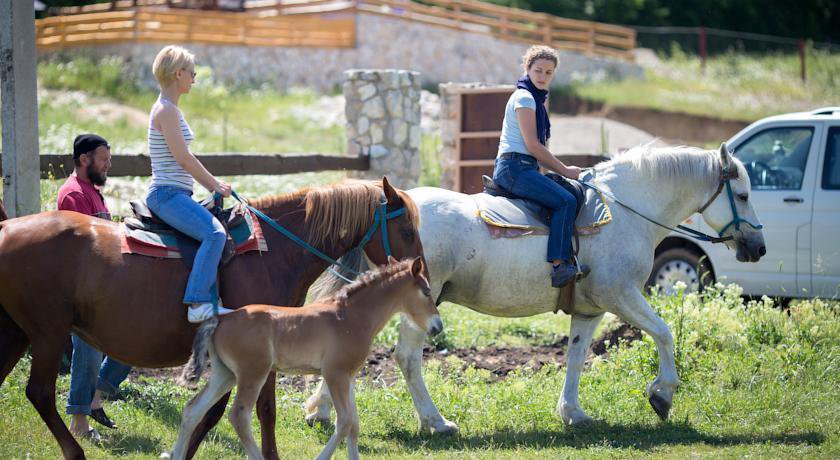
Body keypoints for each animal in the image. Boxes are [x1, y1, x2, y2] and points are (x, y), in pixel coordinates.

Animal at [162, 256, 440, 458]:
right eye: (426, 292)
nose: (438, 326)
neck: (350, 317)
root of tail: (221, 318)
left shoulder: (348, 377)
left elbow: (355, 424)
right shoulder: (335, 374)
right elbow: (344, 422)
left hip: (225, 374)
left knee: (192, 410)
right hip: (253, 373)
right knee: (239, 416)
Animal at [310, 144, 768, 432]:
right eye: (744, 194)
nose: (759, 247)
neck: (625, 211)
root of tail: (389, 207)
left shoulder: (591, 309)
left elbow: (577, 357)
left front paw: (573, 413)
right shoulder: (622, 296)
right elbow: (664, 333)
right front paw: (663, 394)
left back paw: (320, 411)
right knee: (407, 358)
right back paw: (435, 422)